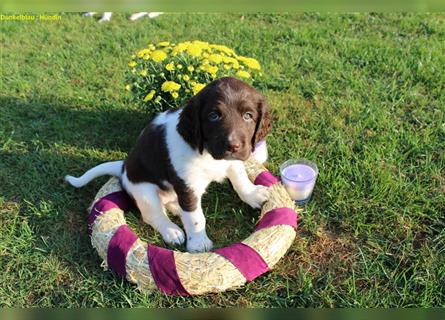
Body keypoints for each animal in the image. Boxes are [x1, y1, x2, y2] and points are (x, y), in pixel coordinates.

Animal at [65, 76, 270, 251]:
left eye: (248, 116)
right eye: (214, 116)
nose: (232, 146)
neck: (207, 153)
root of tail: (123, 168)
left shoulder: (232, 163)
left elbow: (240, 178)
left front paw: (253, 194)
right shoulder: (187, 185)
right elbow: (195, 217)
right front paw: (198, 242)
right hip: (144, 191)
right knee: (154, 214)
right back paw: (172, 230)